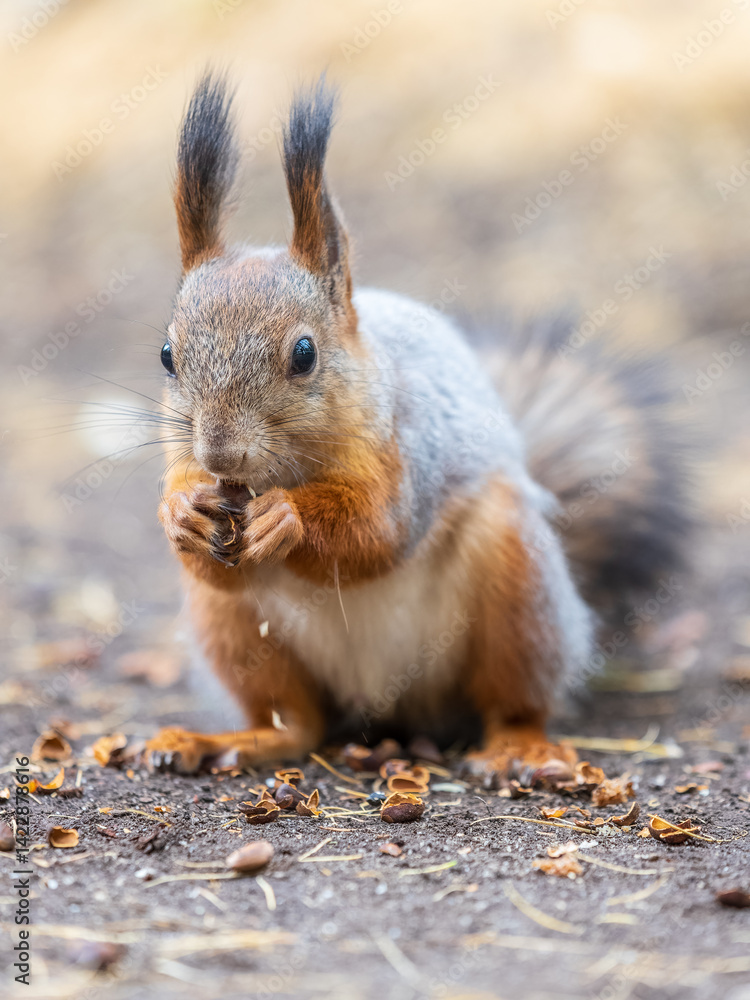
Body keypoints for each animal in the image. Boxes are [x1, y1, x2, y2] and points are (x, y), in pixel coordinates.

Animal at [145, 73, 689, 780]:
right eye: (167, 355)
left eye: (304, 354)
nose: (220, 453)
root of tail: (386, 706)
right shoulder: (185, 467)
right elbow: (210, 554)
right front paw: (180, 513)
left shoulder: (406, 449)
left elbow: (379, 531)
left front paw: (286, 518)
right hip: (234, 633)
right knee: (295, 721)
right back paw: (226, 741)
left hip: (517, 585)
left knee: (513, 698)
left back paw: (519, 747)